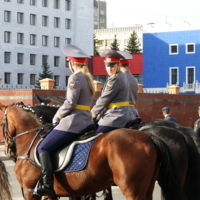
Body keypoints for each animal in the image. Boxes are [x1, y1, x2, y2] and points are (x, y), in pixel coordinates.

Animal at [0, 103, 186, 200]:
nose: (9, 151)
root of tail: (149, 137)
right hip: (147, 187)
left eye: (2, 123)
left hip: (133, 190)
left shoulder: (30, 192)